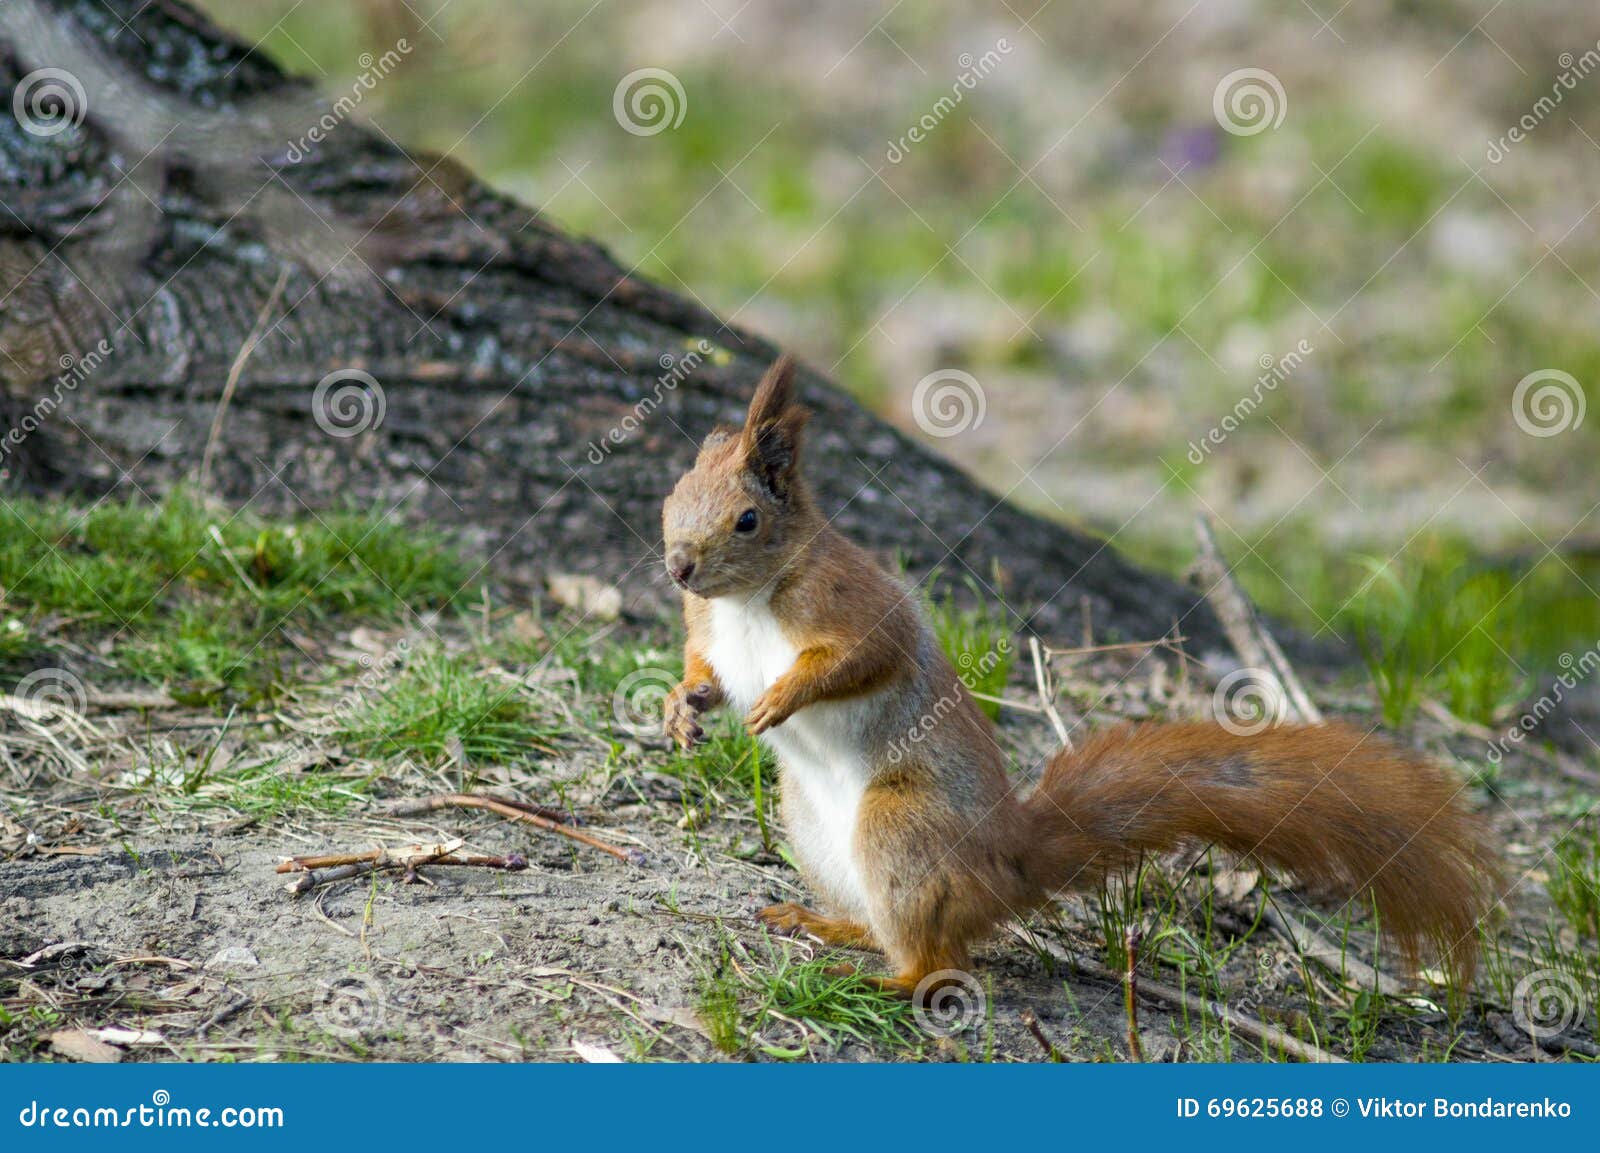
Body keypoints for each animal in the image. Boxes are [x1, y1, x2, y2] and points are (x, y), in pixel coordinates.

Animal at [659, 355, 1497, 991]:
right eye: (672, 496)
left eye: (747, 520)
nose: (678, 567)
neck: (746, 599)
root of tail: (1008, 864)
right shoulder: (708, 628)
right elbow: (705, 668)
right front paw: (681, 706)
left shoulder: (850, 600)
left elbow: (863, 657)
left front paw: (781, 698)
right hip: (813, 829)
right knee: (882, 925)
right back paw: (826, 923)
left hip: (903, 827)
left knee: (942, 955)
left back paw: (895, 979)